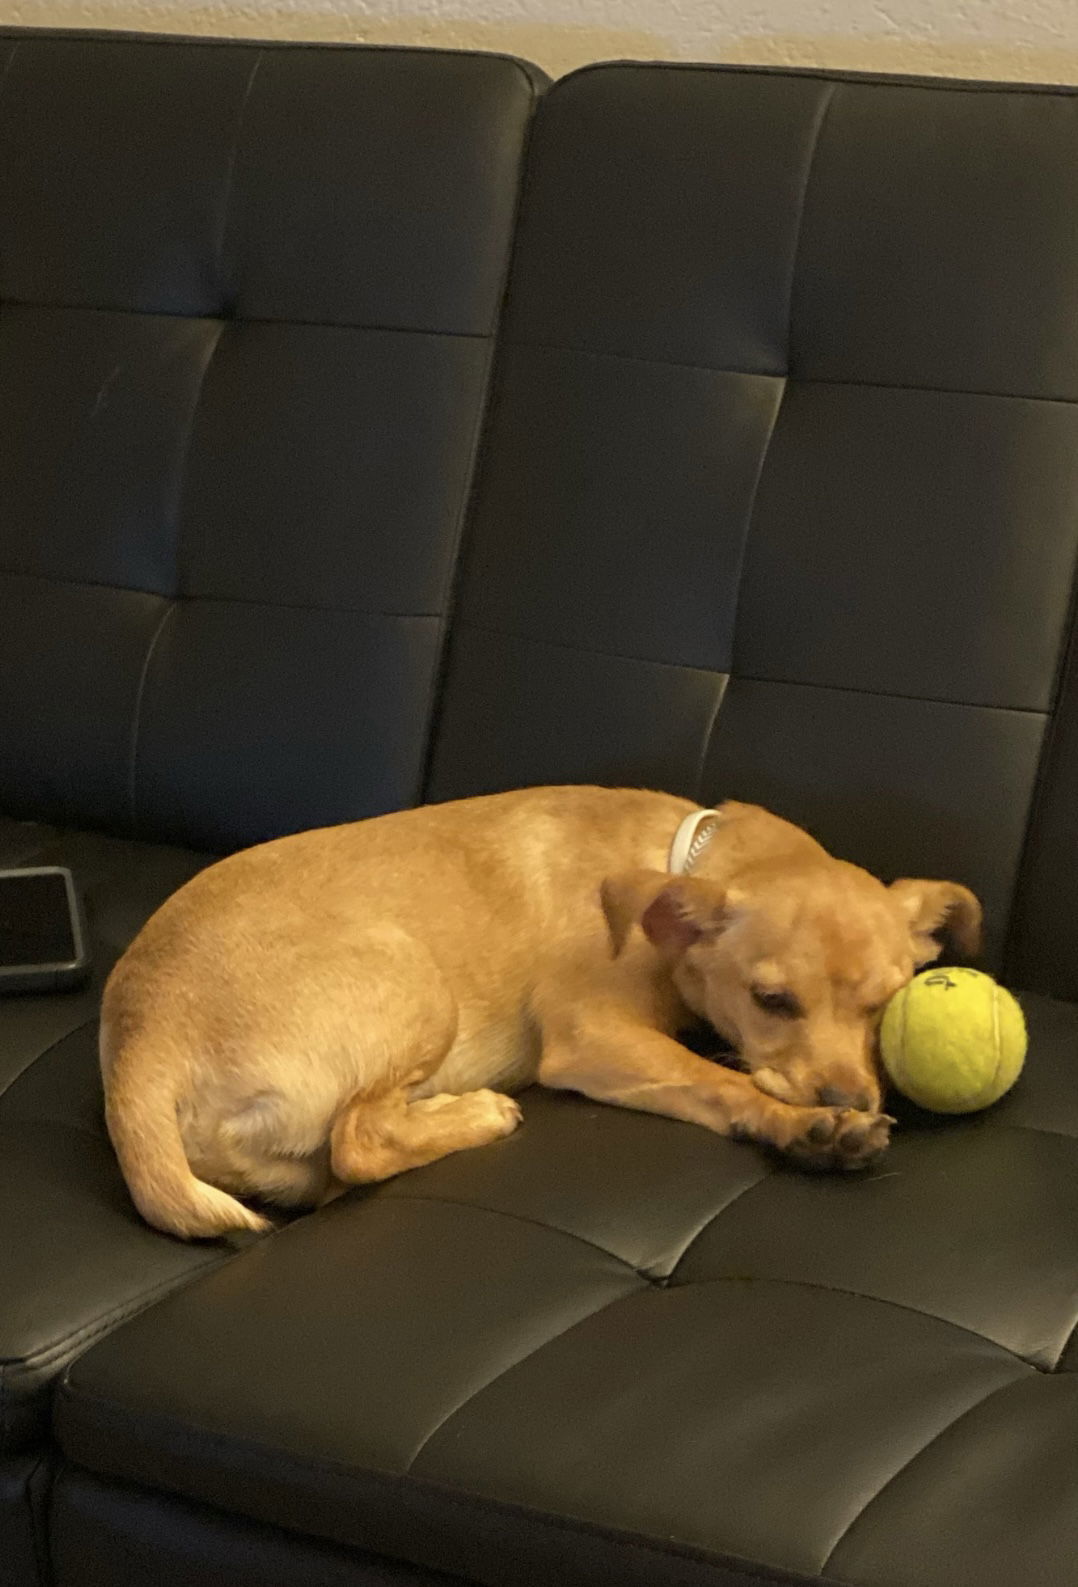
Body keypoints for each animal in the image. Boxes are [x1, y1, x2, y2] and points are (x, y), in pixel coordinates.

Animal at [103, 790, 984, 1237]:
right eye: (772, 1001)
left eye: (884, 1003)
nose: (849, 1098)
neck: (678, 858)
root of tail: (138, 1052)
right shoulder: (594, 1035)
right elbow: (717, 1080)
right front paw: (807, 1128)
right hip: (419, 986)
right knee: (359, 1137)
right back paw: (477, 1114)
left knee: (338, 1165)